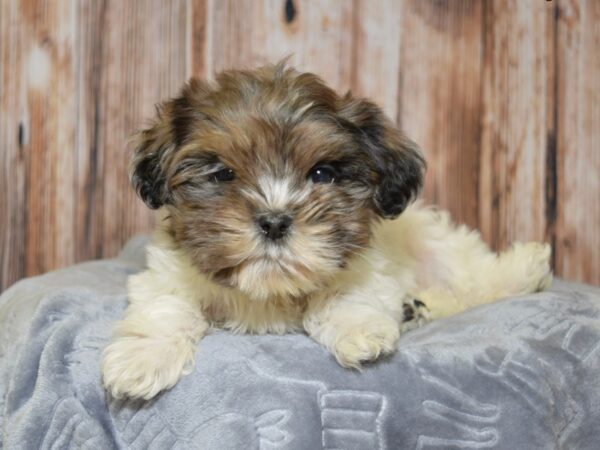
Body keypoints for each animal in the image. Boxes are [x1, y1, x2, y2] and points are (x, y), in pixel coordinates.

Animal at [99, 63, 552, 400]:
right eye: (223, 174)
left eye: (322, 174)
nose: (274, 220)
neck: (269, 290)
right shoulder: (167, 274)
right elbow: (166, 307)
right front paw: (141, 359)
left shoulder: (367, 262)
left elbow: (347, 293)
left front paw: (358, 330)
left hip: (433, 242)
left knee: (470, 277)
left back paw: (524, 269)